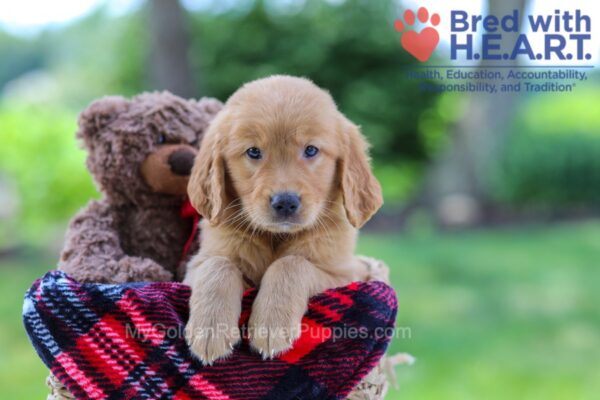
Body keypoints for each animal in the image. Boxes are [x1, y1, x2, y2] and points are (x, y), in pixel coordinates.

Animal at [183, 76, 382, 366]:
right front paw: (210, 329)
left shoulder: (346, 273)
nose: (285, 202)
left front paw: (271, 325)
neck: (276, 236)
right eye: (253, 152)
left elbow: (292, 263)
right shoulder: (195, 265)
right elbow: (218, 265)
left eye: (311, 150)